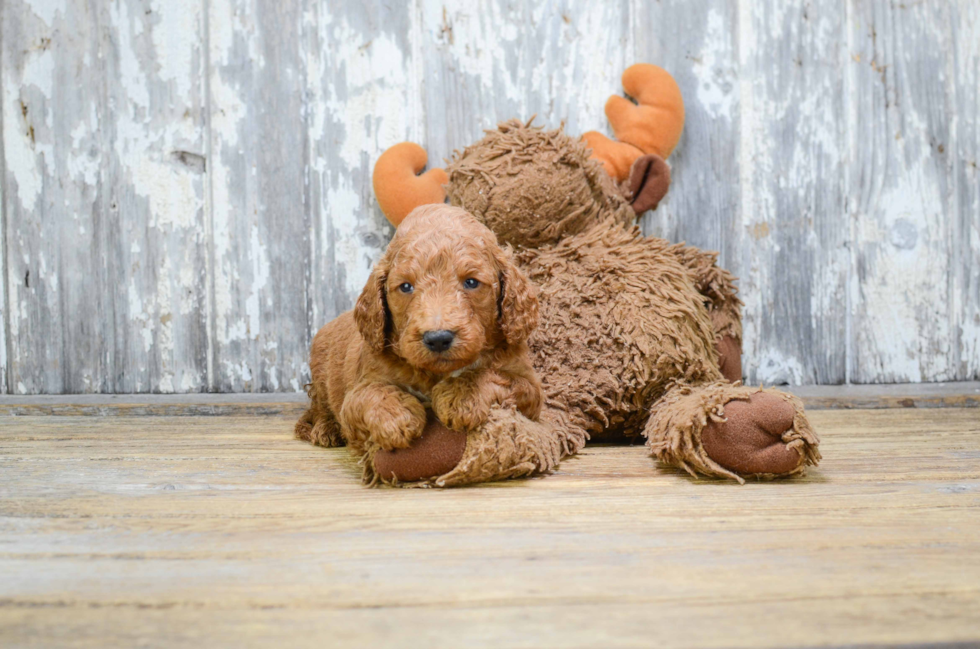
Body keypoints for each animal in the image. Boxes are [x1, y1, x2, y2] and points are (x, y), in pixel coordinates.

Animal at [298, 204, 544, 456]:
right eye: (406, 286)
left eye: (472, 282)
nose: (438, 339)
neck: (436, 373)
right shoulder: (360, 386)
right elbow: (370, 392)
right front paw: (395, 418)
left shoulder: (531, 390)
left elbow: (495, 376)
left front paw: (461, 395)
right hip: (319, 372)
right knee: (319, 405)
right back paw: (326, 429)